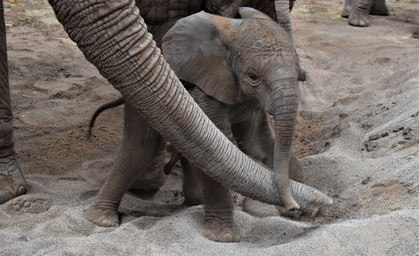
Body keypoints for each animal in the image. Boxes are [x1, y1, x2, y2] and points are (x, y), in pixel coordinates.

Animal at [87, 7, 334, 242]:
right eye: (252, 76)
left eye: (301, 76)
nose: (294, 207)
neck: (232, 33)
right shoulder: (205, 84)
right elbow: (220, 147)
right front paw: (223, 237)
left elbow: (258, 144)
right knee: (141, 146)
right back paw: (102, 220)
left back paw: (194, 201)